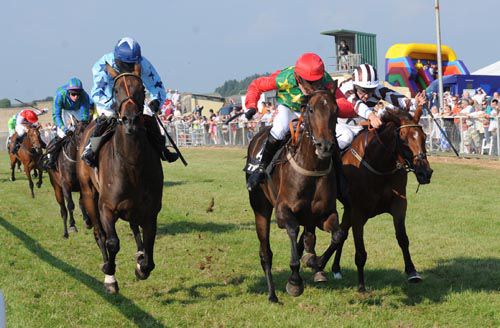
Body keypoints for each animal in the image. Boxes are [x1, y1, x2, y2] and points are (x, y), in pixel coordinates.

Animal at [76, 64, 163, 294]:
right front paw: (109, 275)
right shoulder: (106, 207)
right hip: (88, 194)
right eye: (115, 91)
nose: (131, 120)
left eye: (141, 88)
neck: (132, 163)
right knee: (99, 234)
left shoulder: (151, 211)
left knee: (134, 228)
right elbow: (112, 242)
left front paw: (142, 266)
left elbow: (149, 247)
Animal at [246, 80, 340, 302]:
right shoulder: (283, 211)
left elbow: (338, 235)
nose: (325, 146)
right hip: (260, 209)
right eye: (311, 109)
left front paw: (317, 263)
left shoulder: (326, 213)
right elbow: (292, 230)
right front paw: (295, 281)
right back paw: (272, 294)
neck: (312, 168)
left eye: (336, 110)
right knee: (266, 253)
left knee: (308, 236)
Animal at [316, 104, 434, 292]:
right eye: (403, 140)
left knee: (341, 233)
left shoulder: (399, 204)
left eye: (424, 137)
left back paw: (333, 267)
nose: (425, 172)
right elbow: (359, 251)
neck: (379, 164)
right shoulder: (358, 212)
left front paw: (412, 271)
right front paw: (361, 285)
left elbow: (402, 238)